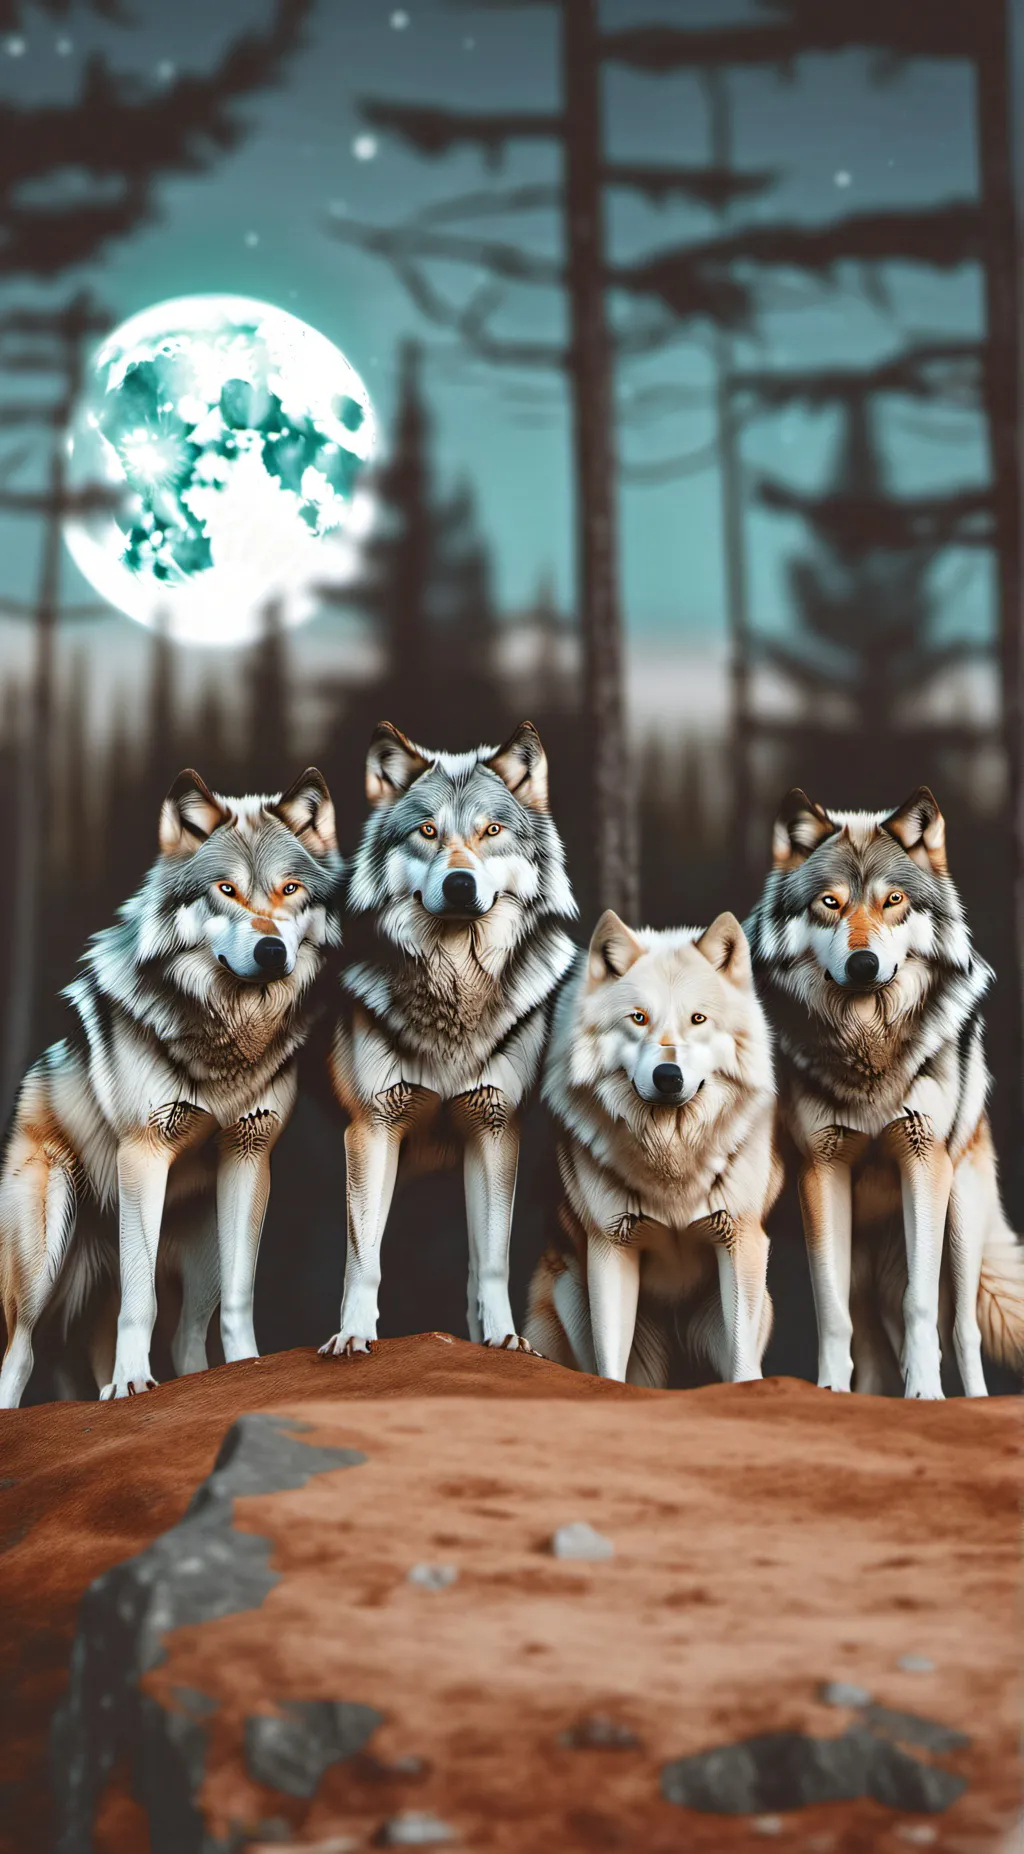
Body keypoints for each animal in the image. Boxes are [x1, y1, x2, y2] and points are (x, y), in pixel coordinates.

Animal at [0, 767, 341, 1408]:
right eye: (225, 890)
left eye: (289, 889)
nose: (271, 950)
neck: (225, 1040)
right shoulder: (143, 1153)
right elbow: (142, 1301)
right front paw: (131, 1383)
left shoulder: (250, 1157)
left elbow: (239, 1298)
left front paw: (250, 1368)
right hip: (44, 1256)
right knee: (19, 1353)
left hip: (200, 1248)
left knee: (186, 1339)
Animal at [319, 719, 577, 1359]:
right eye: (428, 831)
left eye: (492, 831)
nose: (460, 885)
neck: (454, 991)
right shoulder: (371, 1128)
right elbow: (364, 1258)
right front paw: (353, 1335)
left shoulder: (495, 1128)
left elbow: (490, 1262)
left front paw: (505, 1339)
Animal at [524, 911, 780, 1385]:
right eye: (638, 1018)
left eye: (698, 1019)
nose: (668, 1076)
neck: (671, 1155)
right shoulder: (610, 1248)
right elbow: (610, 1365)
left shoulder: (740, 1239)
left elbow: (742, 1364)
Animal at [745, 784, 1024, 1399]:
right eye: (830, 902)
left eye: (893, 899)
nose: (863, 963)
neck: (869, 1044)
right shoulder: (820, 1172)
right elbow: (831, 1313)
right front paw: (830, 1391)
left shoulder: (922, 1160)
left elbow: (922, 1306)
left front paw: (925, 1394)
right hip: (864, 1269)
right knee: (872, 1344)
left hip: (960, 1215)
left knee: (962, 1328)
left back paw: (968, 1398)